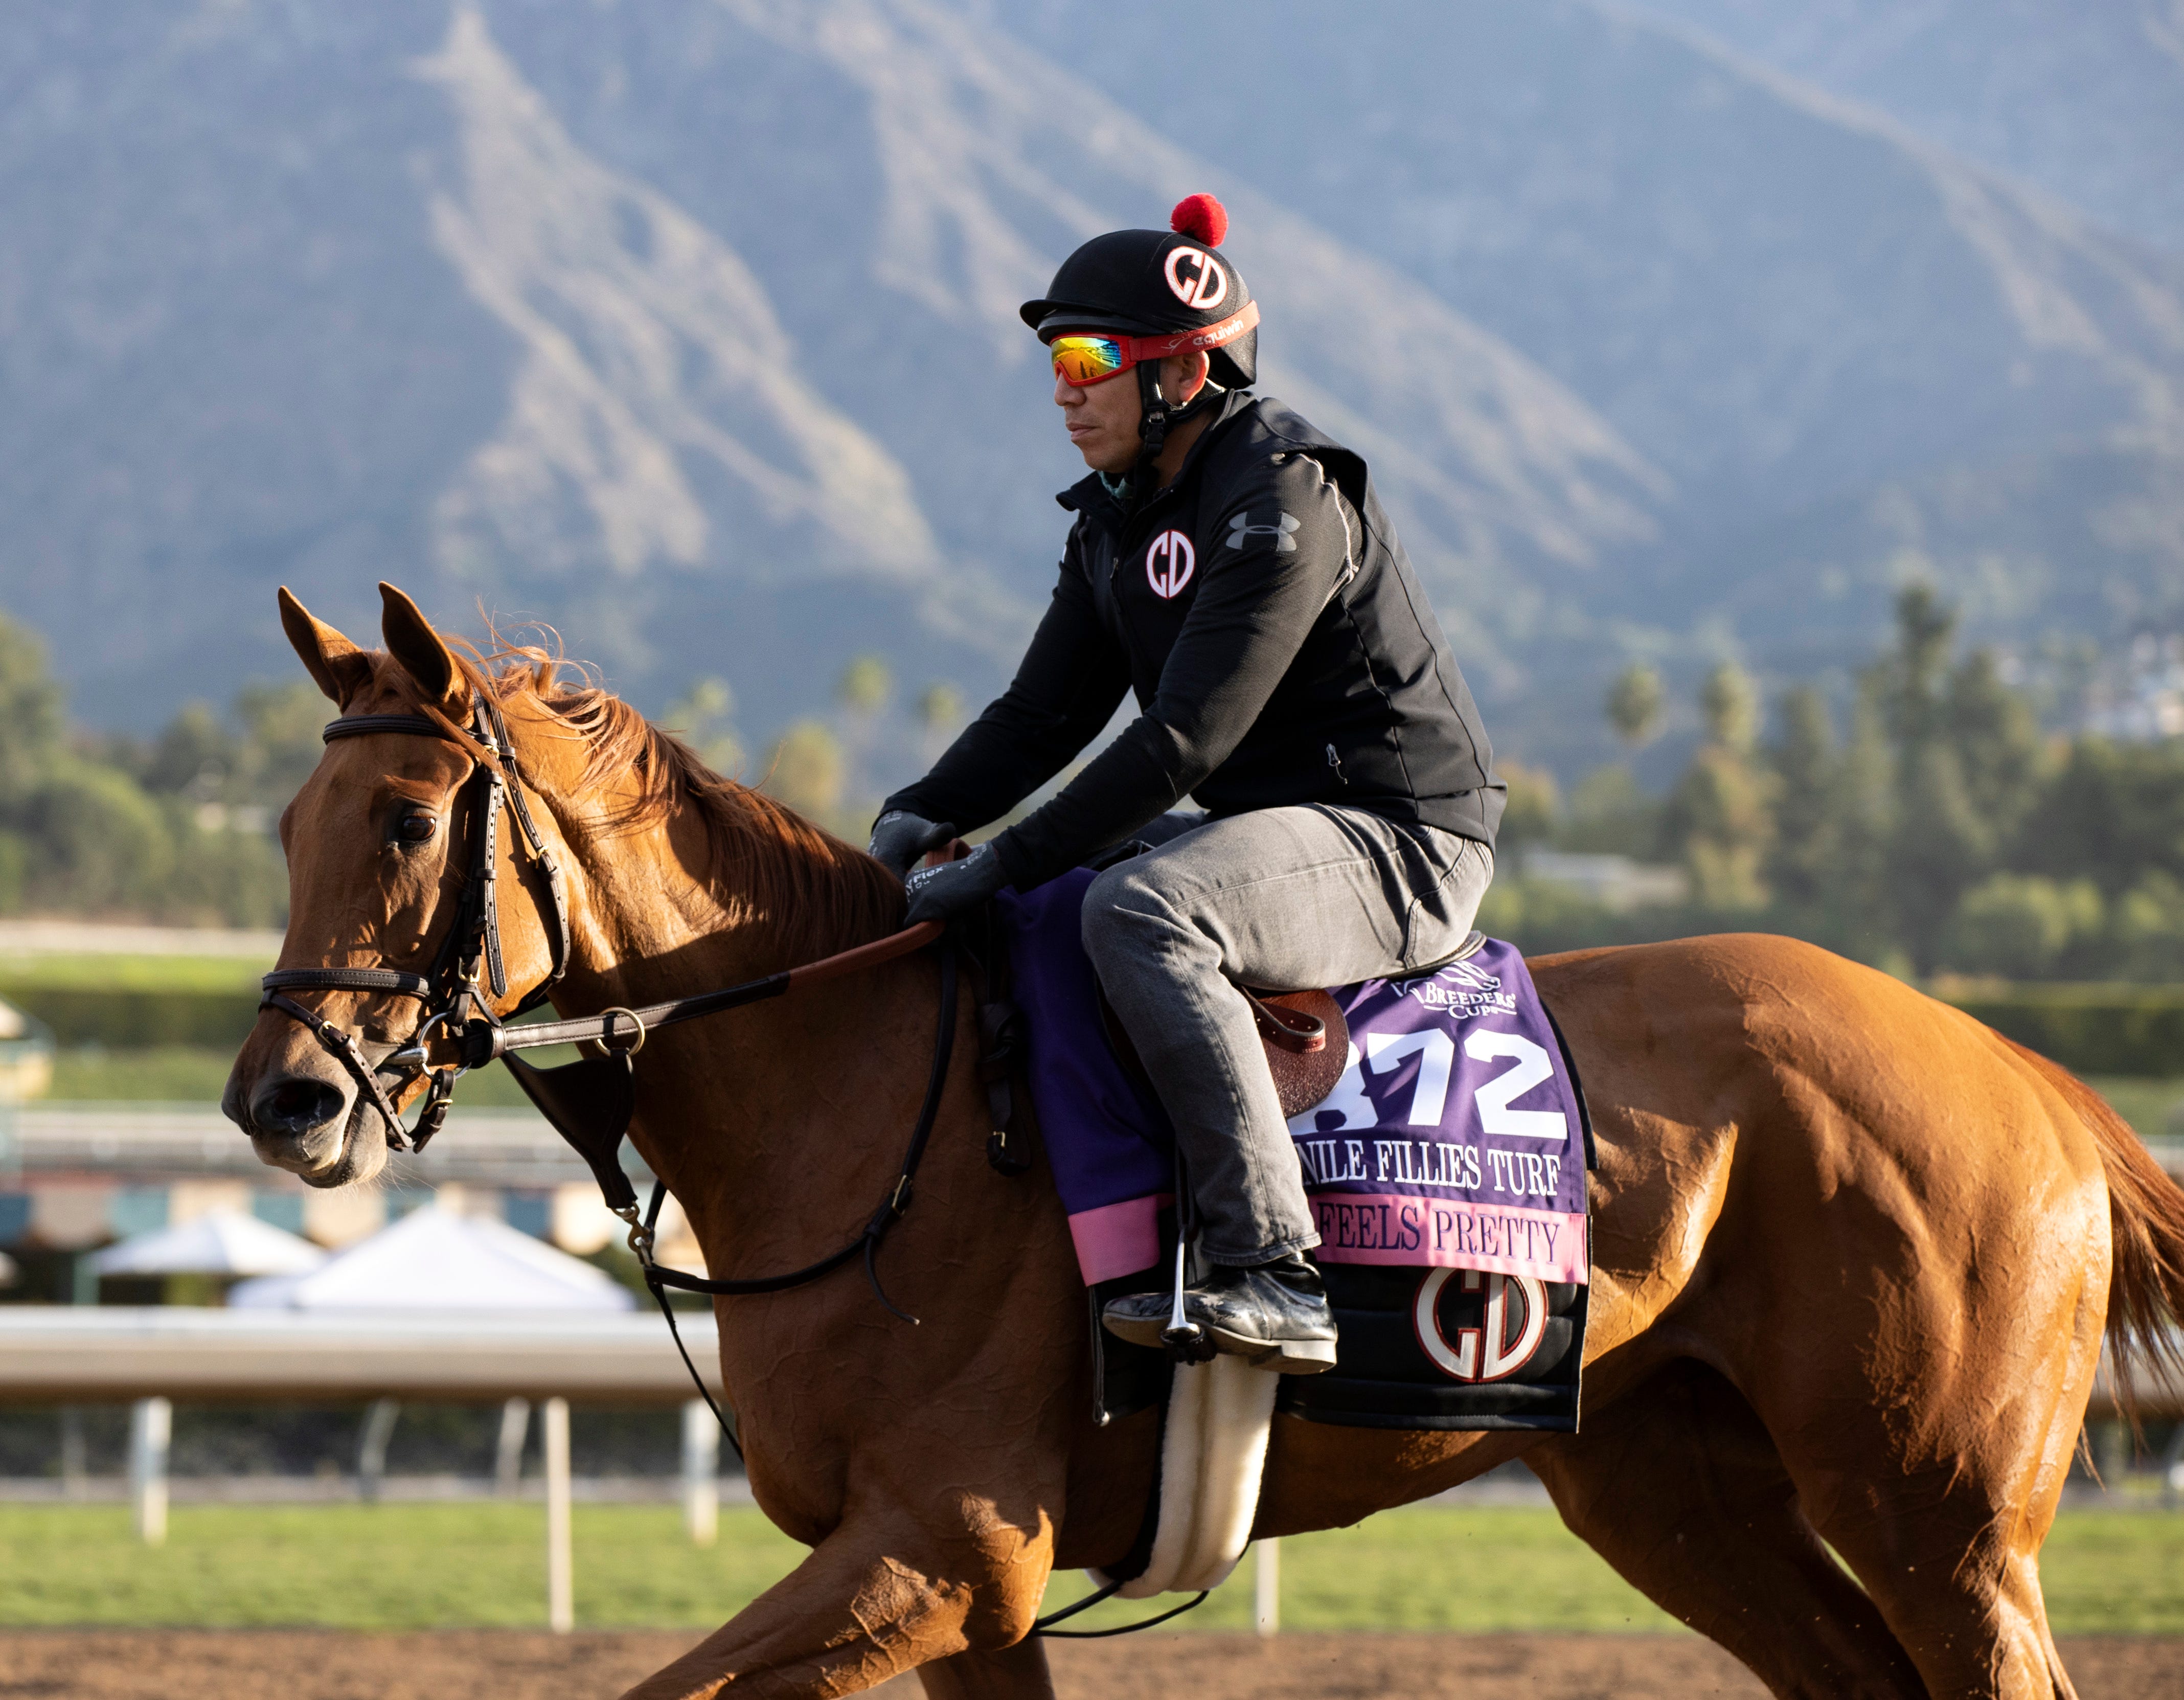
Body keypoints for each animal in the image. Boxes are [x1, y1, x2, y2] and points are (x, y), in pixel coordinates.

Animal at [230, 585, 2175, 1695]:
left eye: (409, 818)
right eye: (287, 817)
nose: (280, 1097)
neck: (866, 1103)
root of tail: (2037, 1080)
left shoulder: (941, 1546)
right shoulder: (971, 1596)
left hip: (1936, 1521)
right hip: (1675, 1487)